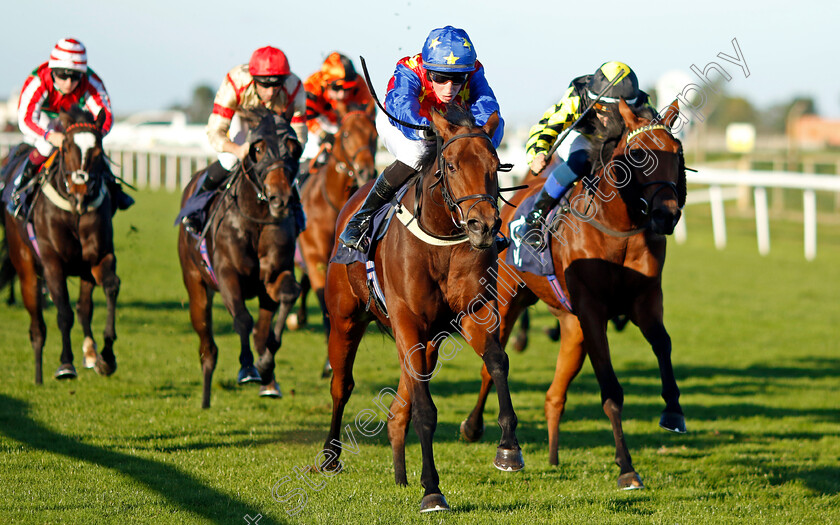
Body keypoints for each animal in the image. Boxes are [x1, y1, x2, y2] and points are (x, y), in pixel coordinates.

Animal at [0, 107, 120, 384]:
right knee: (37, 325)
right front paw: (66, 364)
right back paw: (38, 374)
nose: (80, 189)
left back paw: (90, 353)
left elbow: (110, 287)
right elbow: (64, 313)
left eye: (98, 150)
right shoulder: (52, 262)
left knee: (84, 308)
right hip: (26, 266)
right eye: (65, 147)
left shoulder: (99, 257)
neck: (74, 210)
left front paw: (106, 357)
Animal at [177, 107, 302, 410]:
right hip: (196, 286)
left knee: (260, 330)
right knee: (207, 346)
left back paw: (268, 380)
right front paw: (247, 368)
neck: (254, 219)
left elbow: (287, 297)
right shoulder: (226, 275)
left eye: (294, 148)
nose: (280, 199)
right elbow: (243, 319)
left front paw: (266, 365)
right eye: (258, 148)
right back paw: (206, 398)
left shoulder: (274, 276)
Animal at [294, 107, 376, 376]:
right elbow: (324, 304)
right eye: (346, 134)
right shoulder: (315, 259)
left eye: (374, 134)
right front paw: (330, 363)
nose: (366, 171)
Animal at [320, 106, 520, 512]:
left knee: (401, 403)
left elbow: (497, 361)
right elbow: (425, 410)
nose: (484, 226)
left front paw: (508, 448)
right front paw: (432, 490)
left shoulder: (473, 310)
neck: (440, 239)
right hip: (346, 319)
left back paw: (399, 474)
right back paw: (331, 457)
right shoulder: (406, 320)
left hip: (430, 340)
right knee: (342, 385)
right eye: (453, 165)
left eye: (495, 165)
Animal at [460, 100, 688, 490]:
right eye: (638, 154)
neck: (617, 228)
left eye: (676, 152)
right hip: (507, 301)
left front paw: (673, 410)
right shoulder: (593, 312)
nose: (666, 215)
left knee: (554, 395)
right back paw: (475, 429)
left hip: (572, 327)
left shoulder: (645, 302)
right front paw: (626, 468)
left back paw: (552, 457)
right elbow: (611, 392)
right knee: (490, 368)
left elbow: (663, 343)